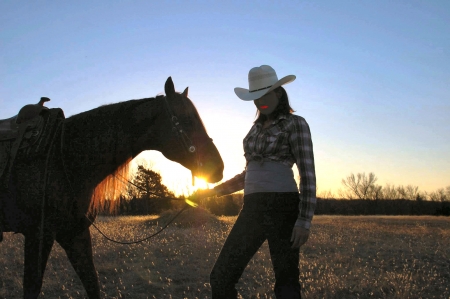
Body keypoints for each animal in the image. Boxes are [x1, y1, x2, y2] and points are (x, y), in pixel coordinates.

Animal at [0, 78, 224, 299]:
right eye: (187, 119)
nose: (218, 167)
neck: (63, 156)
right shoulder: (38, 234)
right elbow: (32, 288)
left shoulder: (75, 234)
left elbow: (92, 283)